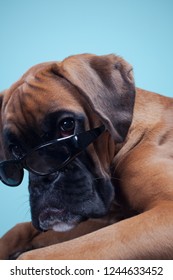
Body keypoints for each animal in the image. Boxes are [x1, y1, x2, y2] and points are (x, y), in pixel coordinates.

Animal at [0, 53, 173, 260]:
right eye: (16, 150)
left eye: (67, 125)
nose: (43, 179)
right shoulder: (107, 216)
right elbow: (20, 229)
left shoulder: (165, 212)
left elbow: (38, 255)